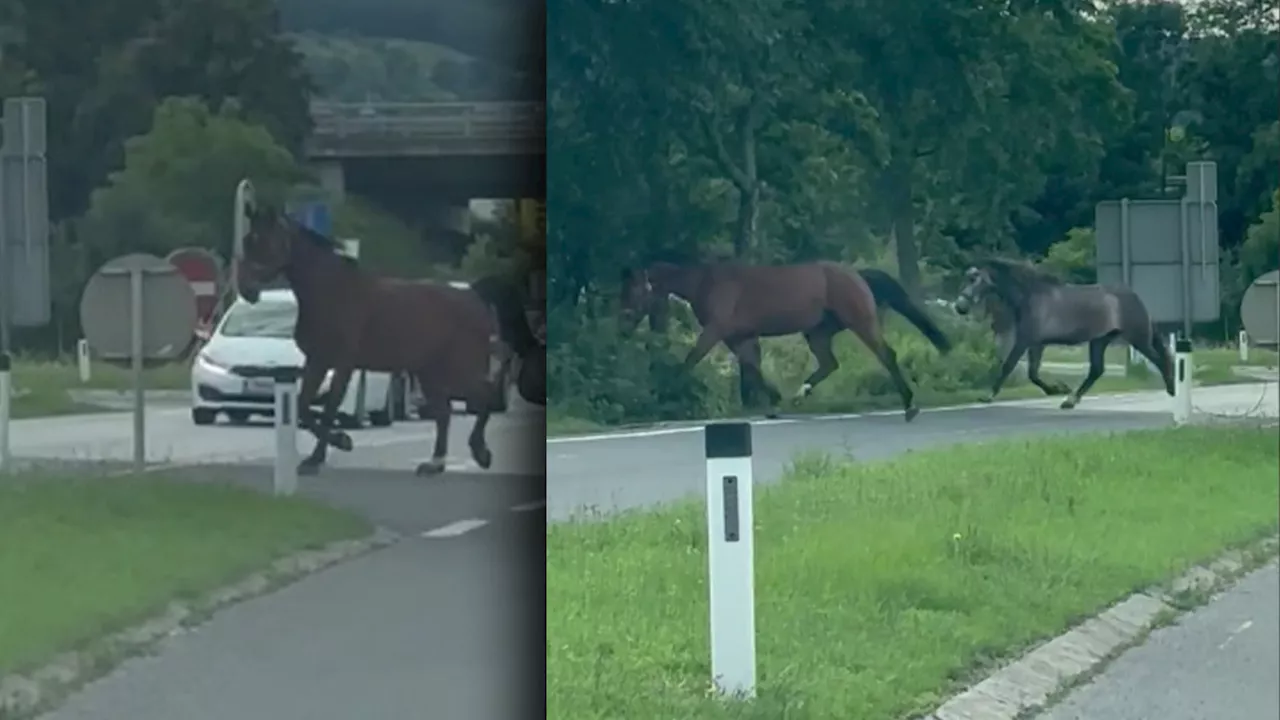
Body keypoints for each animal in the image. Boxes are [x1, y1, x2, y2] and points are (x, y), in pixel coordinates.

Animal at [238, 202, 501, 474]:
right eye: (247, 241)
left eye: (266, 242)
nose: (246, 289)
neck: (329, 291)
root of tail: (475, 298)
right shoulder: (317, 360)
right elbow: (303, 405)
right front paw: (328, 448)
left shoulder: (342, 364)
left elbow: (330, 408)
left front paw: (329, 450)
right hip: (430, 372)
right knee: (444, 412)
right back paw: (435, 464)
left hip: (459, 367)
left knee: (484, 395)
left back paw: (480, 452)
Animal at [619, 260, 952, 420]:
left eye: (634, 290)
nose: (623, 324)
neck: (707, 283)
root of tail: (856, 274)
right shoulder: (740, 338)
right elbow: (753, 371)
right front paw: (774, 401)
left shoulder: (716, 332)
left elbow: (690, 361)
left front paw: (669, 397)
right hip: (818, 332)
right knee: (829, 364)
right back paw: (799, 393)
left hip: (860, 323)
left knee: (887, 355)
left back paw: (909, 406)